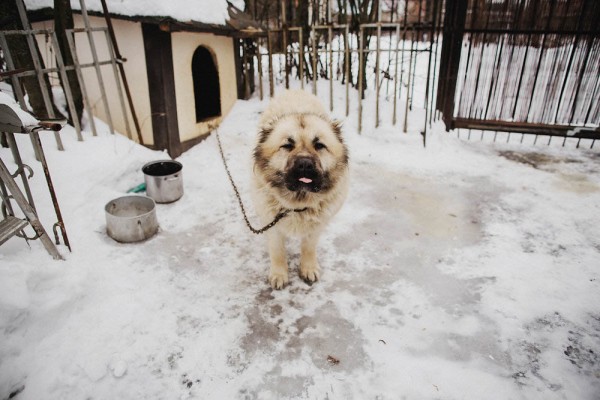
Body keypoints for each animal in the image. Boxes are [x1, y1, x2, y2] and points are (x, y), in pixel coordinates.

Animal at [252, 89, 346, 290]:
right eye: (287, 145)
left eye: (319, 145)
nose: (304, 164)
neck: (296, 205)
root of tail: (295, 90)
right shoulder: (272, 224)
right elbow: (277, 251)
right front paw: (279, 274)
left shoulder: (316, 226)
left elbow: (309, 247)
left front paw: (308, 268)